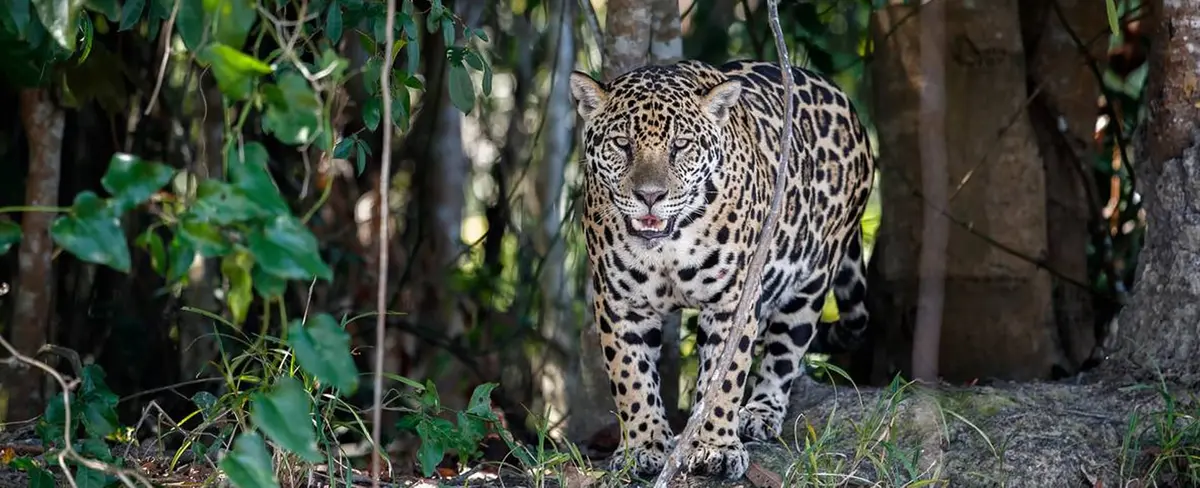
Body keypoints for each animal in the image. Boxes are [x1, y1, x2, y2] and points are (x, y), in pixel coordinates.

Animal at [568, 59, 875, 480]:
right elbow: (631, 376)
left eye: (680, 146)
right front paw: (644, 446)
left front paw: (716, 447)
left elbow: (724, 376)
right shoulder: (619, 303)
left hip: (811, 280)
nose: (650, 196)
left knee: (786, 350)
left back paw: (759, 412)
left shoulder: (733, 300)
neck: (669, 244)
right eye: (622, 144)